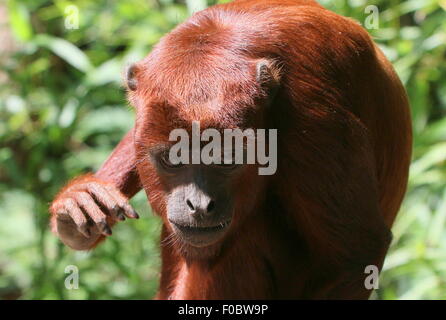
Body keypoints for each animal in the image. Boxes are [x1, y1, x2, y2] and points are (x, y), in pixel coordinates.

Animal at [48, 0, 412, 300]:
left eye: (225, 159)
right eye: (171, 158)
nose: (198, 203)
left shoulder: (313, 116)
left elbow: (358, 253)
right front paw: (79, 201)